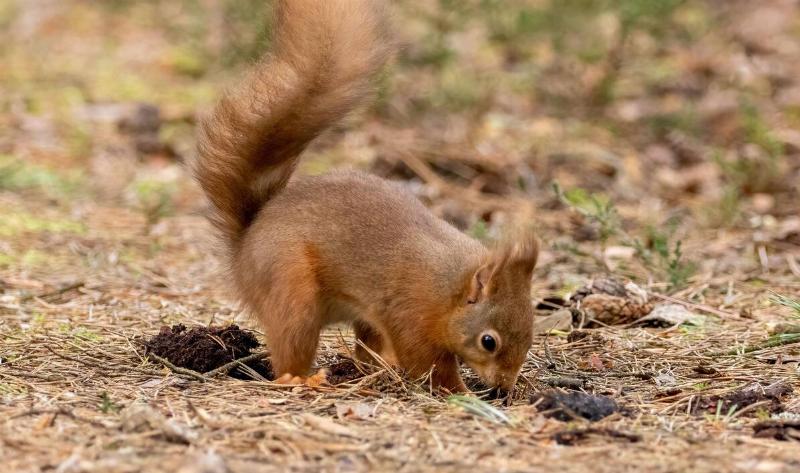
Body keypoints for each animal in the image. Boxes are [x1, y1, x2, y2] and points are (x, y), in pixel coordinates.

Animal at [193, 0, 538, 393]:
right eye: (488, 341)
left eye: (530, 333)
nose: (505, 386)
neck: (448, 285)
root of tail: (245, 244)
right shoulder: (411, 311)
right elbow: (427, 362)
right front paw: (460, 392)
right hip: (289, 287)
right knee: (290, 344)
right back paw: (303, 378)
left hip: (362, 315)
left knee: (365, 348)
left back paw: (380, 365)